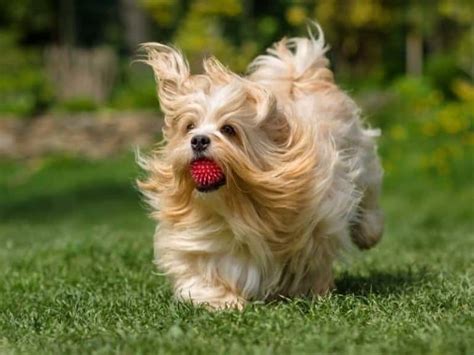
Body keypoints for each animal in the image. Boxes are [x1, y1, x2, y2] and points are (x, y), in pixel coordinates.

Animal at [137, 25, 386, 310]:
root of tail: (299, 76)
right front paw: (222, 299)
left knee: (369, 195)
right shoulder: (197, 241)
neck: (240, 206)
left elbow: (311, 259)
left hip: (361, 153)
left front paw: (310, 289)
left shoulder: (320, 219)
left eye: (229, 129)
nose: (198, 140)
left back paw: (369, 233)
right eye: (189, 126)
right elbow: (200, 273)